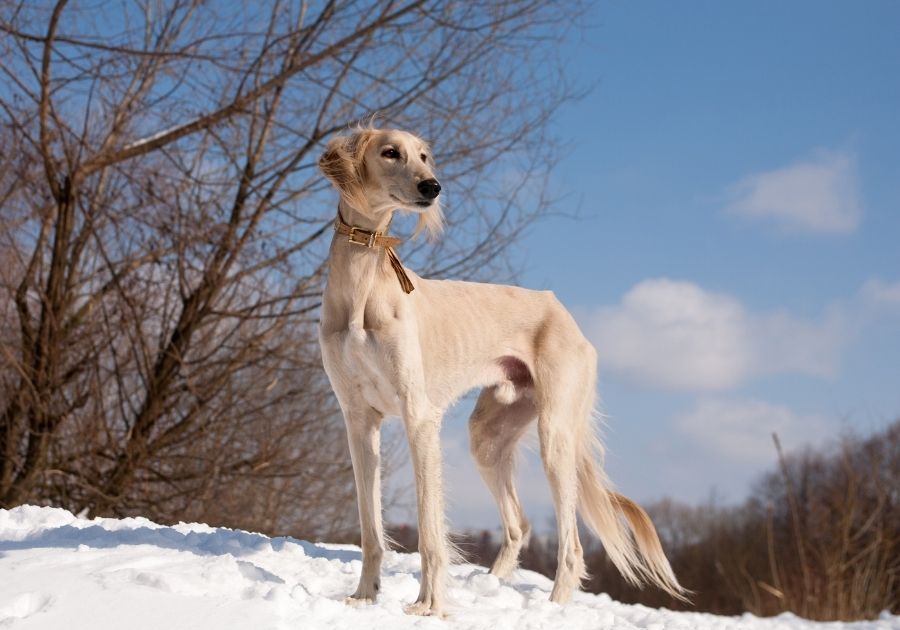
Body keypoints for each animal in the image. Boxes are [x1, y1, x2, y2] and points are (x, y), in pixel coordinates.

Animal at [314, 128, 684, 616]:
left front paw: (430, 605)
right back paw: (493, 585)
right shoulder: (358, 421)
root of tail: (565, 314)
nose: (433, 187)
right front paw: (363, 597)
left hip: (556, 436)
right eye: (390, 152)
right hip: (488, 436)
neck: (364, 284)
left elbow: (430, 528)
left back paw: (553, 608)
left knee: (572, 547)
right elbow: (370, 527)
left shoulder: (418, 416)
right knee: (519, 525)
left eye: (425, 156)